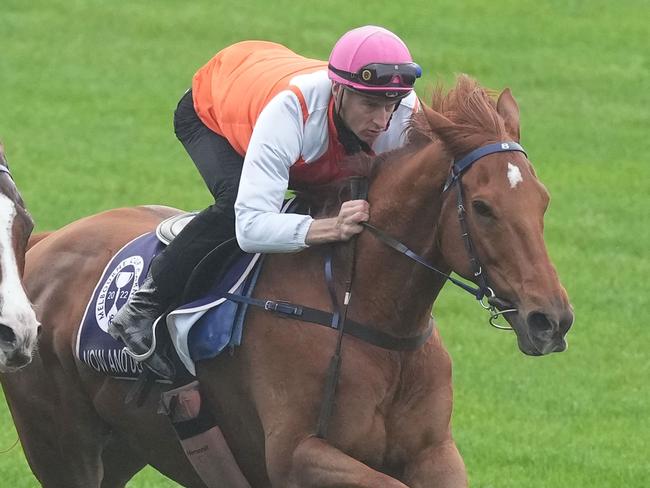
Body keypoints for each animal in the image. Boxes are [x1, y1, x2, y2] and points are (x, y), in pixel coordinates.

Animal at [1, 78, 572, 486]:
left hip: (123, 446)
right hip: (62, 449)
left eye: (543, 200)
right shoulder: (297, 454)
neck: (366, 319)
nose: (552, 320)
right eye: (483, 207)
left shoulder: (435, 453)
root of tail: (44, 244)